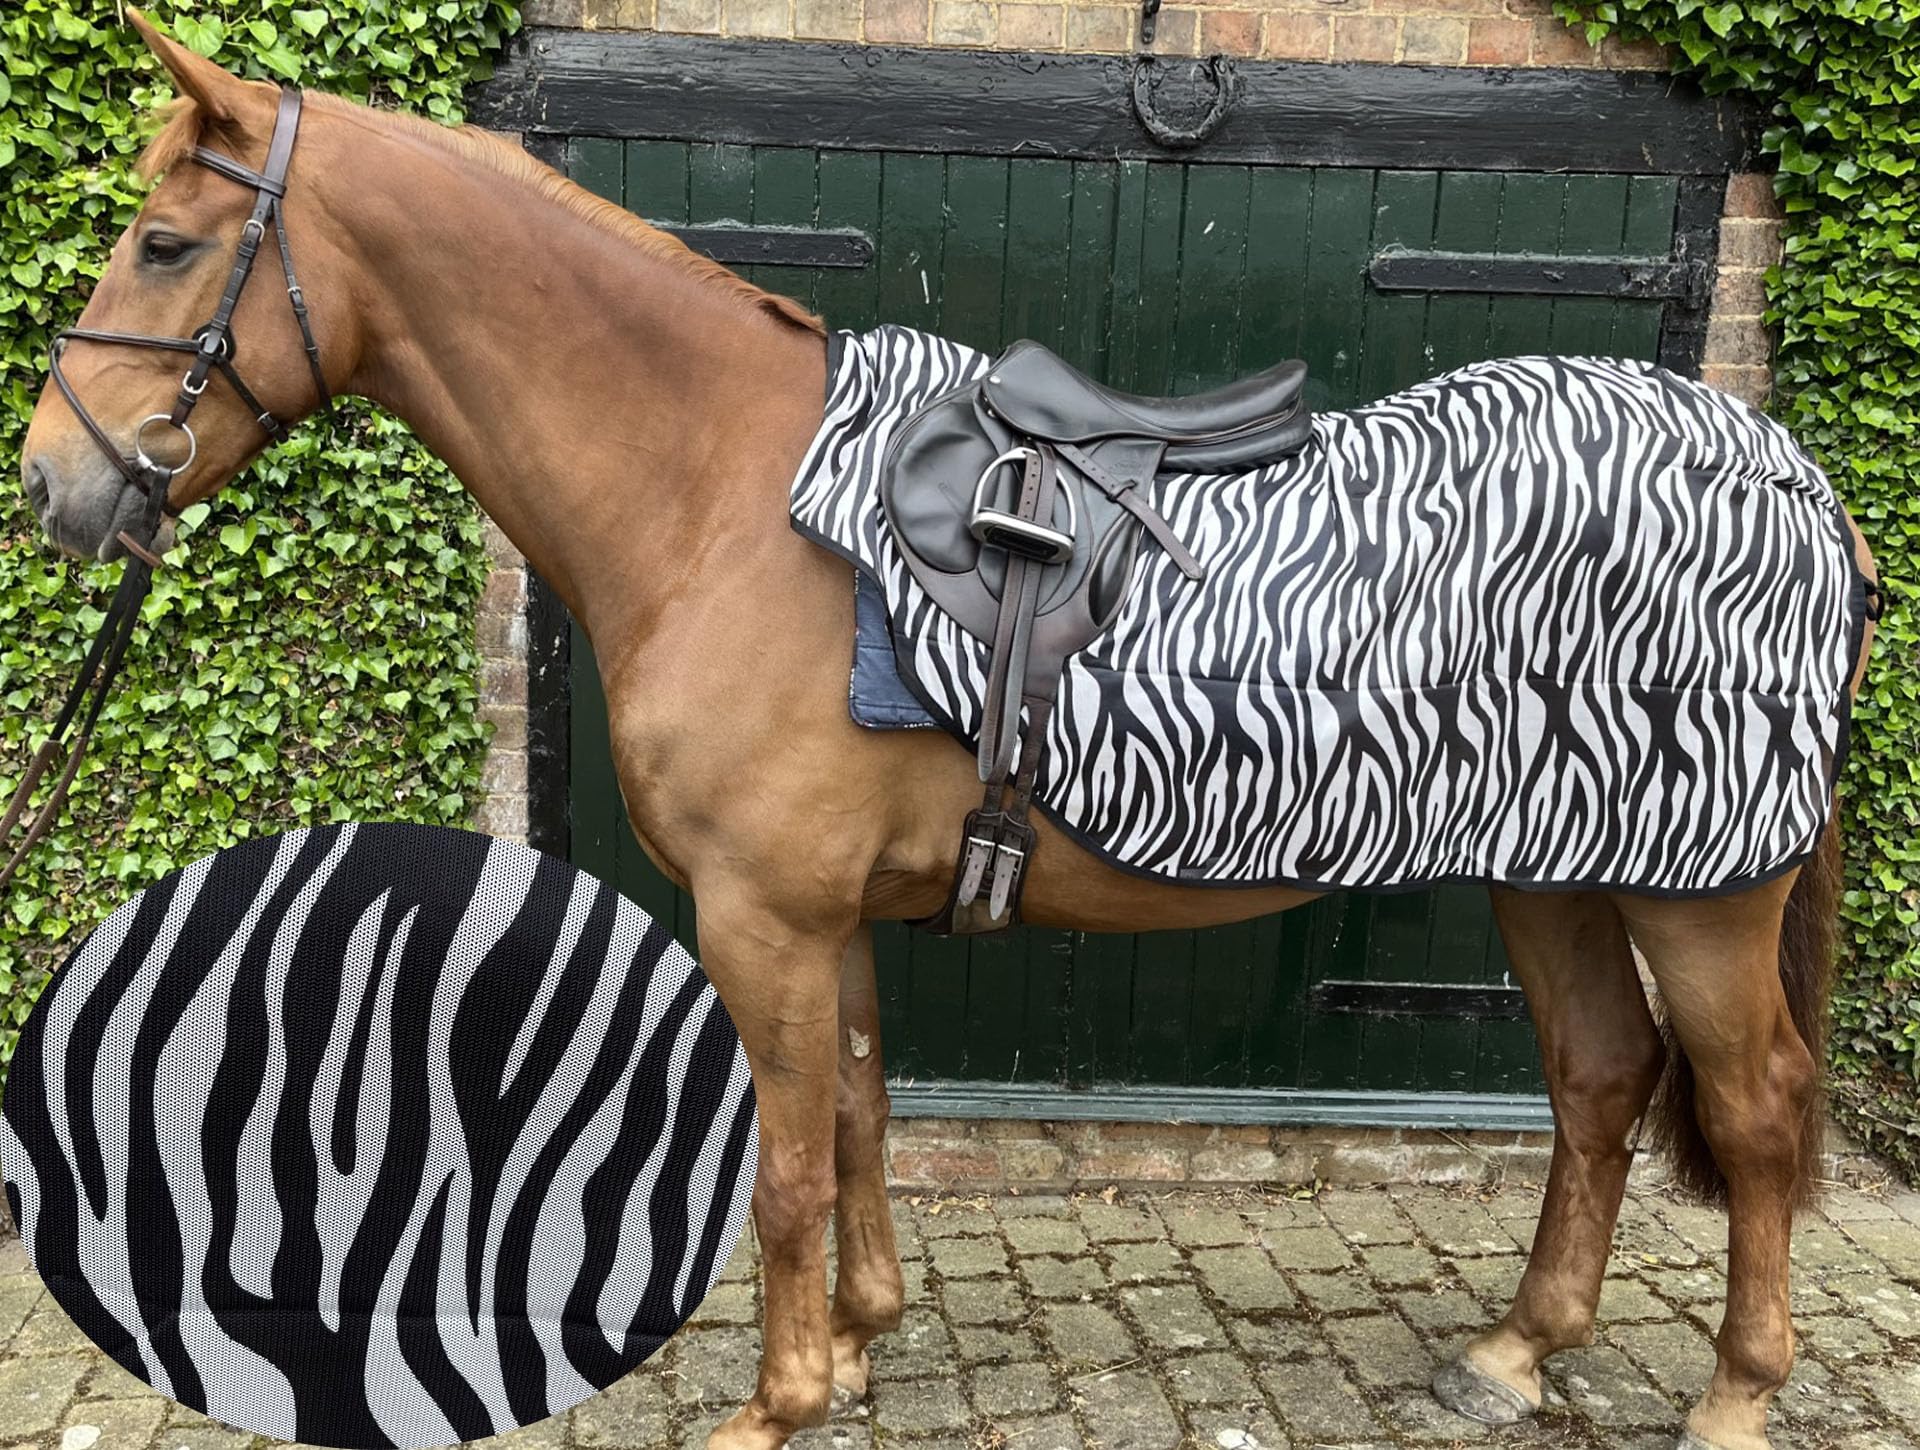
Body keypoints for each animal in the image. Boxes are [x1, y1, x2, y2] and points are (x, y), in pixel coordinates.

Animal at [15, 19, 1879, 1450]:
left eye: (165, 245)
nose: (54, 485)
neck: (720, 496)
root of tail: (1798, 485)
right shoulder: (821, 918)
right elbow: (855, 1114)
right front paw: (853, 1346)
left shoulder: (762, 917)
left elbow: (781, 1165)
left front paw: (772, 1404)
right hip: (1555, 870)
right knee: (1599, 1077)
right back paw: (1515, 1352)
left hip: (1705, 895)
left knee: (1759, 1113)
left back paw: (1735, 1394)